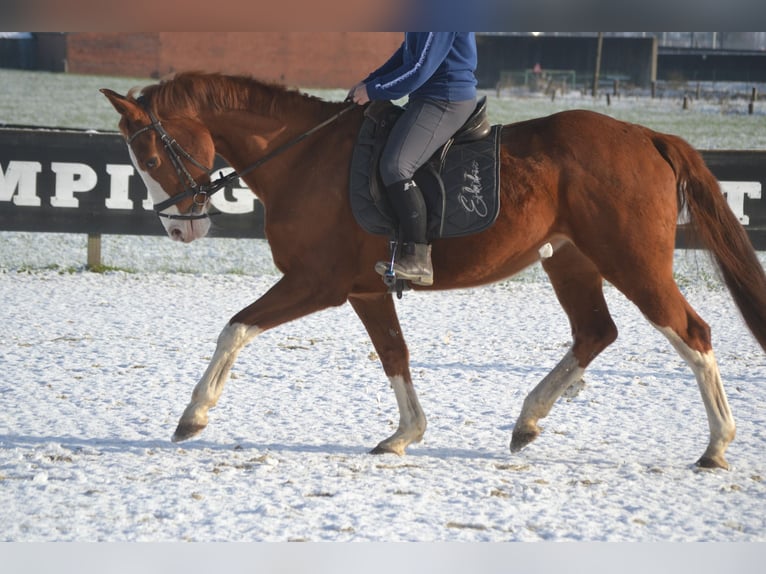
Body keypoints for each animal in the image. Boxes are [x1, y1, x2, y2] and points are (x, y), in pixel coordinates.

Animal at [102, 72, 766, 470]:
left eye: (151, 156)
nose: (180, 228)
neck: (304, 157)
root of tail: (648, 136)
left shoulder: (316, 283)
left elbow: (235, 327)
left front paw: (194, 415)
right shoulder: (367, 289)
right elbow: (394, 354)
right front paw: (405, 434)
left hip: (633, 262)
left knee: (693, 333)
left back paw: (717, 444)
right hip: (572, 261)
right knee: (595, 332)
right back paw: (528, 421)